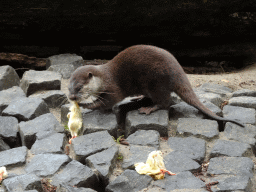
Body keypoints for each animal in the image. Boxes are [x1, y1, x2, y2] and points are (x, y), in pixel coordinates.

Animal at [68, 44, 244, 127]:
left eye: (79, 88)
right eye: (69, 87)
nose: (71, 97)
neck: (104, 78)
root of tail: (179, 72)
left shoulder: (113, 88)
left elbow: (107, 103)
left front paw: (86, 105)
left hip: (157, 83)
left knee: (166, 103)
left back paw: (148, 108)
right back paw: (139, 98)